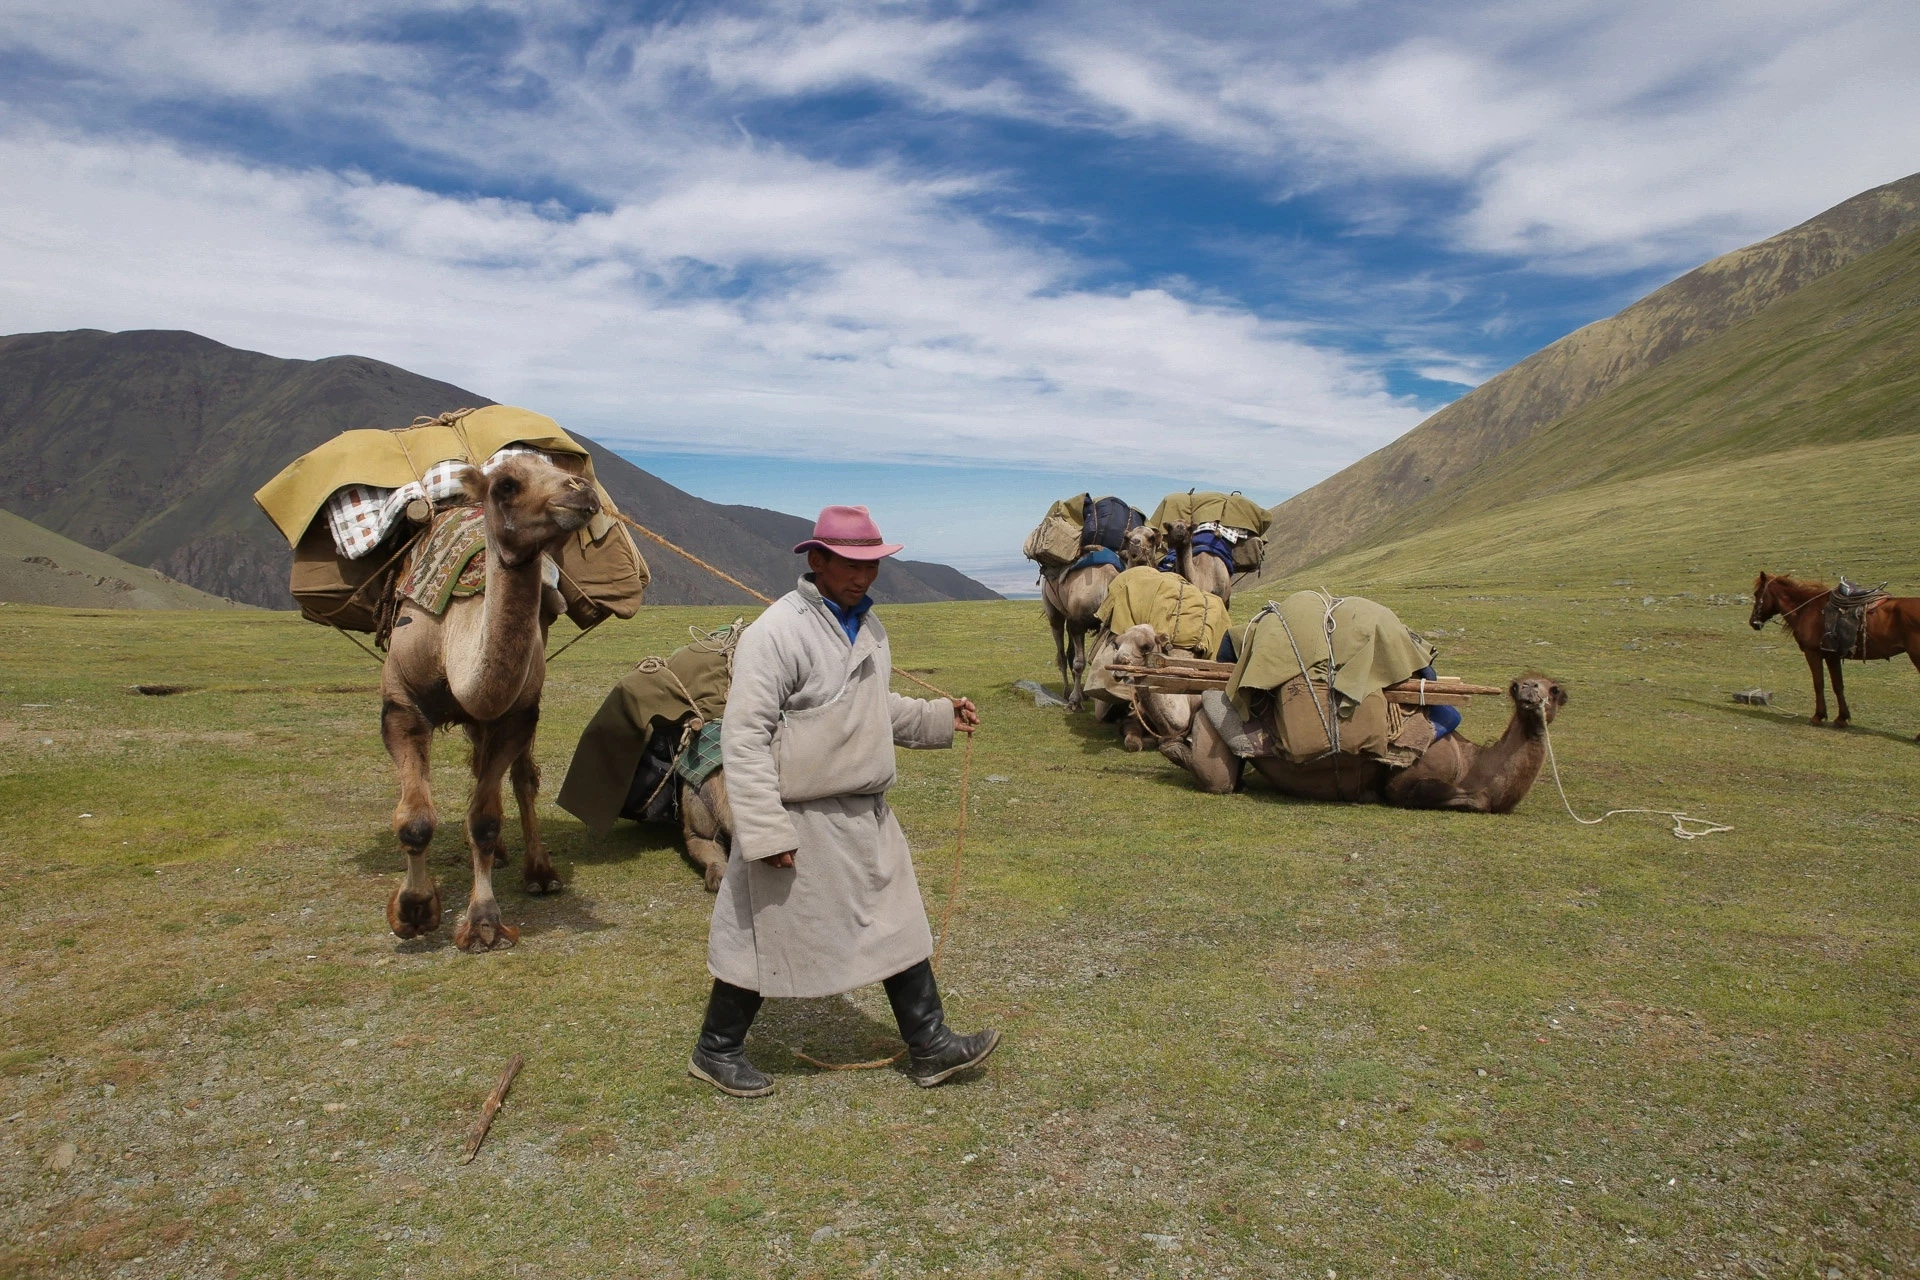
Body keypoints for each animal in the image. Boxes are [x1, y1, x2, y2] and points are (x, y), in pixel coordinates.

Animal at [382, 454, 599, 948]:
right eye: (506, 485)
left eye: (557, 466)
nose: (581, 489)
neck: (452, 641)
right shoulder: (401, 705)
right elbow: (415, 820)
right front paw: (413, 911)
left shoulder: (517, 714)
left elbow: (485, 817)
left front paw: (483, 923)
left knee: (516, 780)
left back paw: (539, 872)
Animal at [1044, 564, 1121, 717]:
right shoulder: (1078, 624)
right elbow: (1079, 663)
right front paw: (1074, 702)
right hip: (1053, 609)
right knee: (1061, 652)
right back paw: (1067, 692)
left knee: (1069, 652)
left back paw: (1081, 693)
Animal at [1175, 671, 1566, 809]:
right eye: (1520, 685)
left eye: (1553, 689)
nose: (1530, 693)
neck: (1471, 764)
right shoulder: (1405, 781)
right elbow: (1462, 798)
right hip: (1214, 725)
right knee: (1217, 779)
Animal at [1751, 571, 1920, 736]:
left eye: (1756, 594)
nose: (1753, 622)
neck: (1807, 609)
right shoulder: (1832, 656)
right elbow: (1838, 686)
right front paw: (1841, 718)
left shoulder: (1813, 653)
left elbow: (1819, 684)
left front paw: (1818, 716)